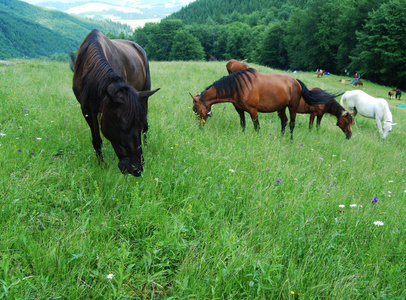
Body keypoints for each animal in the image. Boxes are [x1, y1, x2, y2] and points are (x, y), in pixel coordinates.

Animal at [71, 28, 159, 176]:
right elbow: (96, 139)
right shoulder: (87, 109)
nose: (137, 169)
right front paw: (101, 164)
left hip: (145, 95)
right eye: (123, 128)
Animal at [190, 67, 352, 138]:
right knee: (284, 122)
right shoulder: (240, 110)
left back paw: (290, 140)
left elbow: (256, 126)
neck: (238, 87)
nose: (199, 127)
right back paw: (281, 137)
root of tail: (296, 82)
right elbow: (243, 124)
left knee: (291, 124)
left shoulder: (253, 110)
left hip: (292, 107)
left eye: (196, 110)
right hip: (281, 108)